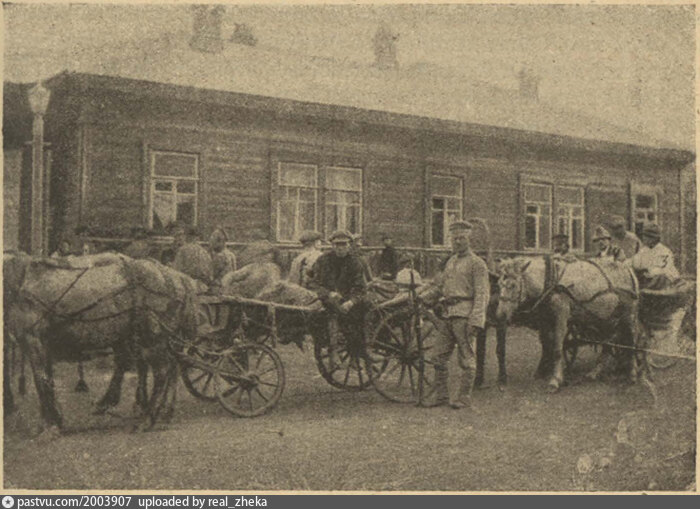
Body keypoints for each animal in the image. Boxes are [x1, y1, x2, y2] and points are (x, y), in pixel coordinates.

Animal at [3, 251, 199, 433]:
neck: (19, 279)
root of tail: (175, 277)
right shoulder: (44, 343)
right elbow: (47, 379)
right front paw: (53, 419)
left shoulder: (32, 340)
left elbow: (40, 381)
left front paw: (49, 425)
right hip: (156, 339)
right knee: (170, 367)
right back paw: (163, 414)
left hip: (152, 339)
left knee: (161, 372)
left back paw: (146, 419)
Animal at [494, 256, 640, 392]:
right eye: (499, 284)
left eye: (513, 285)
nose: (500, 315)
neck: (551, 281)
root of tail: (628, 268)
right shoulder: (545, 320)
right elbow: (547, 344)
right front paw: (542, 371)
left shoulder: (561, 316)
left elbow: (557, 348)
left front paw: (555, 380)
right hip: (605, 316)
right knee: (607, 342)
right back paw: (595, 372)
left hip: (629, 314)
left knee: (631, 340)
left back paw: (632, 374)